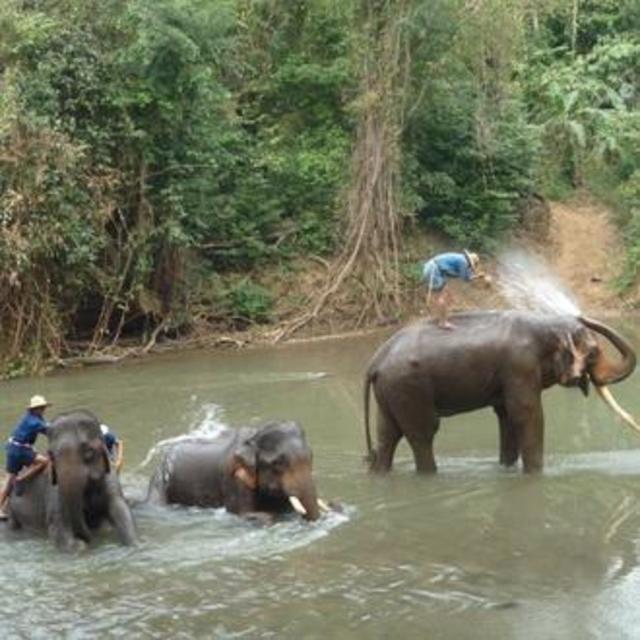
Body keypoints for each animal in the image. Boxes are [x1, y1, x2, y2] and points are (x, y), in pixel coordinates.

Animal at [7, 410, 137, 551]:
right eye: (51, 455)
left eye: (89, 451)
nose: (89, 537)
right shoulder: (54, 487)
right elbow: (58, 522)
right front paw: (79, 545)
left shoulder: (110, 474)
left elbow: (119, 506)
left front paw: (133, 545)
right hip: (13, 511)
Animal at [146, 421, 325, 522]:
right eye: (277, 463)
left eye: (311, 456)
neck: (253, 439)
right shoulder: (234, 476)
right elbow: (243, 514)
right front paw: (269, 516)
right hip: (159, 481)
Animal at [363, 311, 638, 474]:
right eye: (593, 353)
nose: (581, 315)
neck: (546, 324)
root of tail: (375, 361)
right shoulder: (520, 367)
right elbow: (527, 415)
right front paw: (535, 475)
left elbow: (507, 416)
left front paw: (507, 470)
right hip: (409, 387)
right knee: (423, 434)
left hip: (390, 390)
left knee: (387, 435)